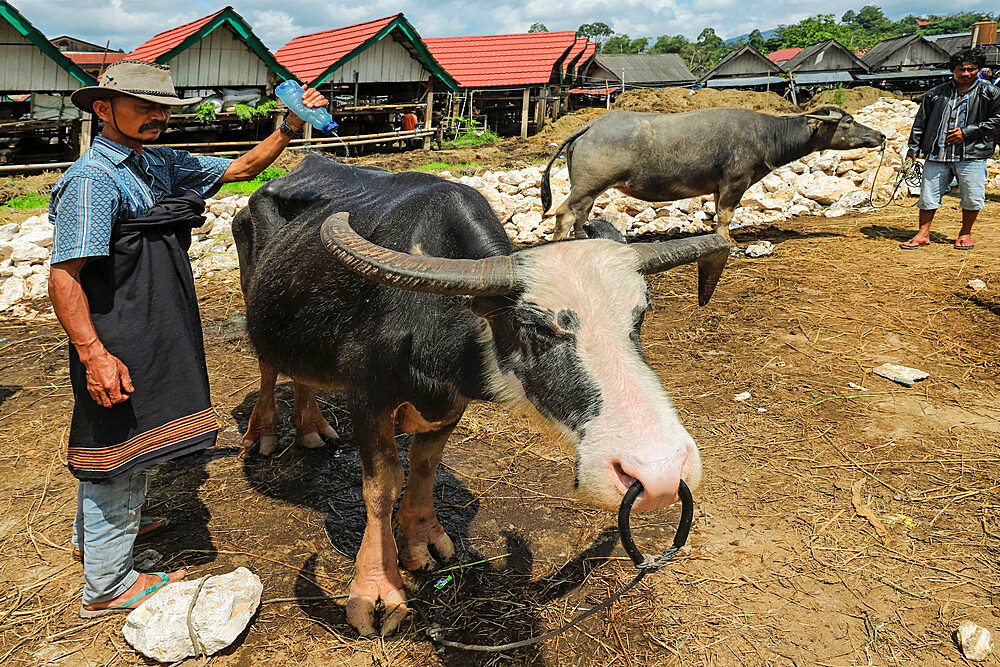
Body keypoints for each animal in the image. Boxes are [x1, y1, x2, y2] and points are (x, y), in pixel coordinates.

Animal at [236, 155, 728, 636]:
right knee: (268, 365)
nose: (660, 471)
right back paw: (263, 434)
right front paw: (377, 590)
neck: (425, 320)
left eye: (640, 315)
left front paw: (420, 539)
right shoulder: (368, 398)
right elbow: (381, 486)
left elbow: (425, 464)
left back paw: (313, 428)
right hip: (254, 301)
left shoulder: (451, 404)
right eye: (532, 326)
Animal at [548, 108, 884, 244]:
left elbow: (718, 211)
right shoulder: (736, 181)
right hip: (588, 185)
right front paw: (727, 241)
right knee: (564, 213)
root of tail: (590, 126)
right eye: (849, 122)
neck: (767, 135)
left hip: (589, 190)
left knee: (580, 216)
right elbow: (726, 214)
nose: (880, 135)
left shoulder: (718, 186)